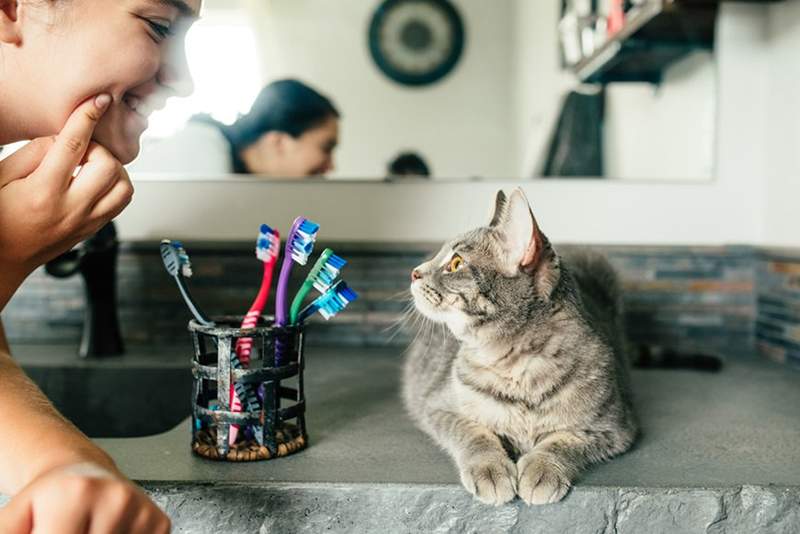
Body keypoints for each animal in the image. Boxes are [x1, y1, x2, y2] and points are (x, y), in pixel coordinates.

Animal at [406, 188, 636, 506]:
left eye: (455, 264)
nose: (414, 273)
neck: (515, 368)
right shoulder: (439, 408)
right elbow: (474, 434)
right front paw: (490, 470)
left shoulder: (614, 427)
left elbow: (564, 441)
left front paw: (542, 469)